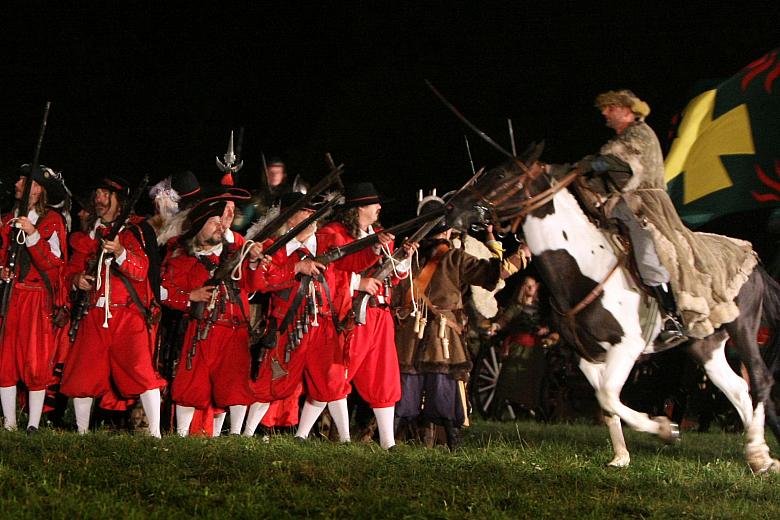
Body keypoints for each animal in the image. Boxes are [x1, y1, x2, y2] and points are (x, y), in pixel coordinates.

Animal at [444, 154, 780, 472]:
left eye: (500, 174)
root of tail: (751, 256)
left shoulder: (626, 348)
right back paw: (759, 456)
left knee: (759, 380)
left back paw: (759, 453)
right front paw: (621, 457)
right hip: (704, 344)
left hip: (743, 329)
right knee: (738, 389)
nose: (452, 207)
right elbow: (606, 403)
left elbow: (608, 395)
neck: (585, 269)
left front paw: (664, 429)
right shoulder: (587, 357)